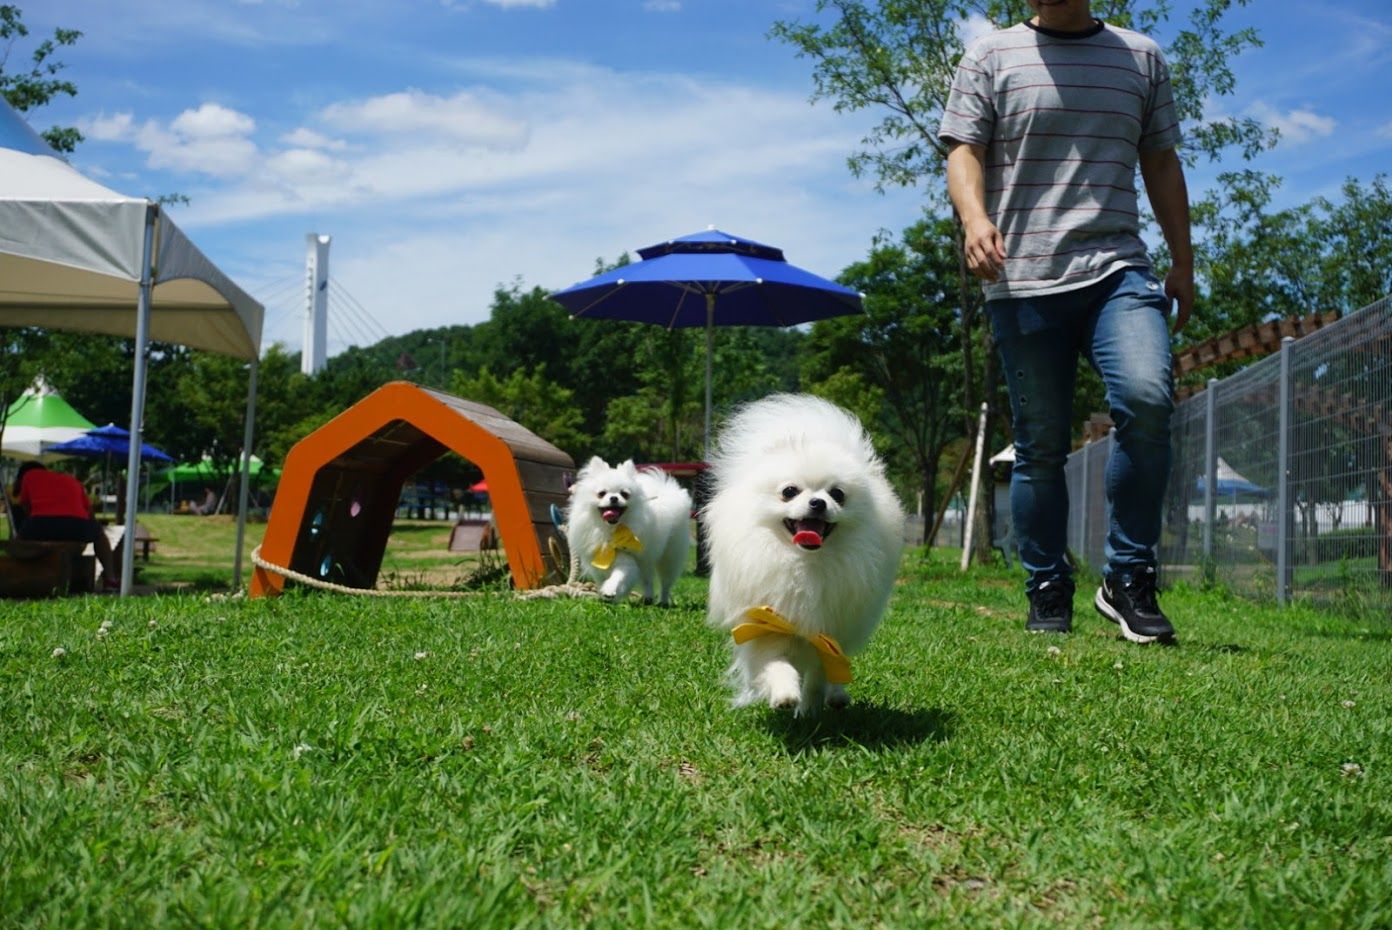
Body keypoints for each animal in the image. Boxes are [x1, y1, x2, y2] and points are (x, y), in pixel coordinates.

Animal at [567, 456, 693, 604]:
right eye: (601, 494)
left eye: (624, 494)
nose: (614, 498)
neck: (610, 529)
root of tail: (666, 491)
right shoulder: (597, 563)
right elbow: (601, 580)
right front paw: (605, 595)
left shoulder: (627, 560)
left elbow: (619, 576)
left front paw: (610, 590)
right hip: (646, 560)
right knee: (648, 580)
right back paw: (648, 598)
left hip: (669, 557)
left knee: (666, 582)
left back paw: (663, 601)